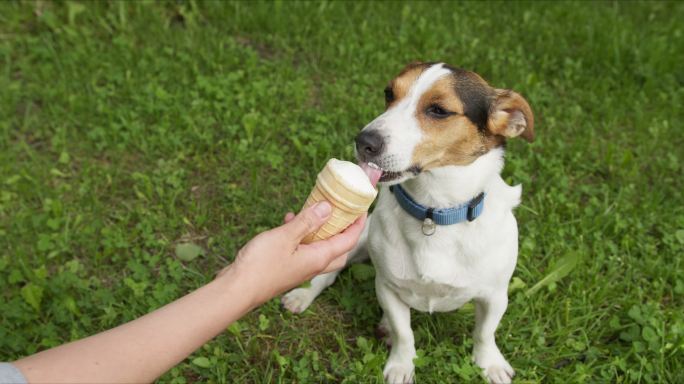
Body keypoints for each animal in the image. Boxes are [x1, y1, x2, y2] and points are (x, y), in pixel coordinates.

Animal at [282, 61, 536, 382]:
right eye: (389, 93)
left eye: (438, 110)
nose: (363, 141)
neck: (434, 213)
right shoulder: (387, 288)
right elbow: (405, 334)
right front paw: (401, 365)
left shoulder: (495, 296)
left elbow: (484, 333)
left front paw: (488, 363)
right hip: (358, 240)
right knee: (327, 274)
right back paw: (304, 295)